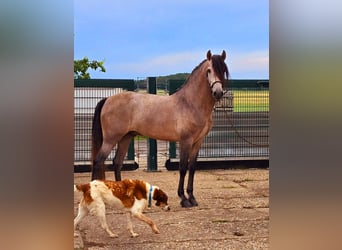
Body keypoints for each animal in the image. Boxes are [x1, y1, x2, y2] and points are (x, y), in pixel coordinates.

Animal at [91, 49, 230, 208]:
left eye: (223, 70)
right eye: (209, 71)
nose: (218, 92)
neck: (190, 104)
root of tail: (108, 99)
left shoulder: (197, 142)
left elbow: (192, 168)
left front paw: (192, 198)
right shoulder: (185, 141)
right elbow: (183, 168)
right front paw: (183, 199)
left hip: (125, 138)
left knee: (117, 162)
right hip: (111, 139)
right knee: (98, 161)